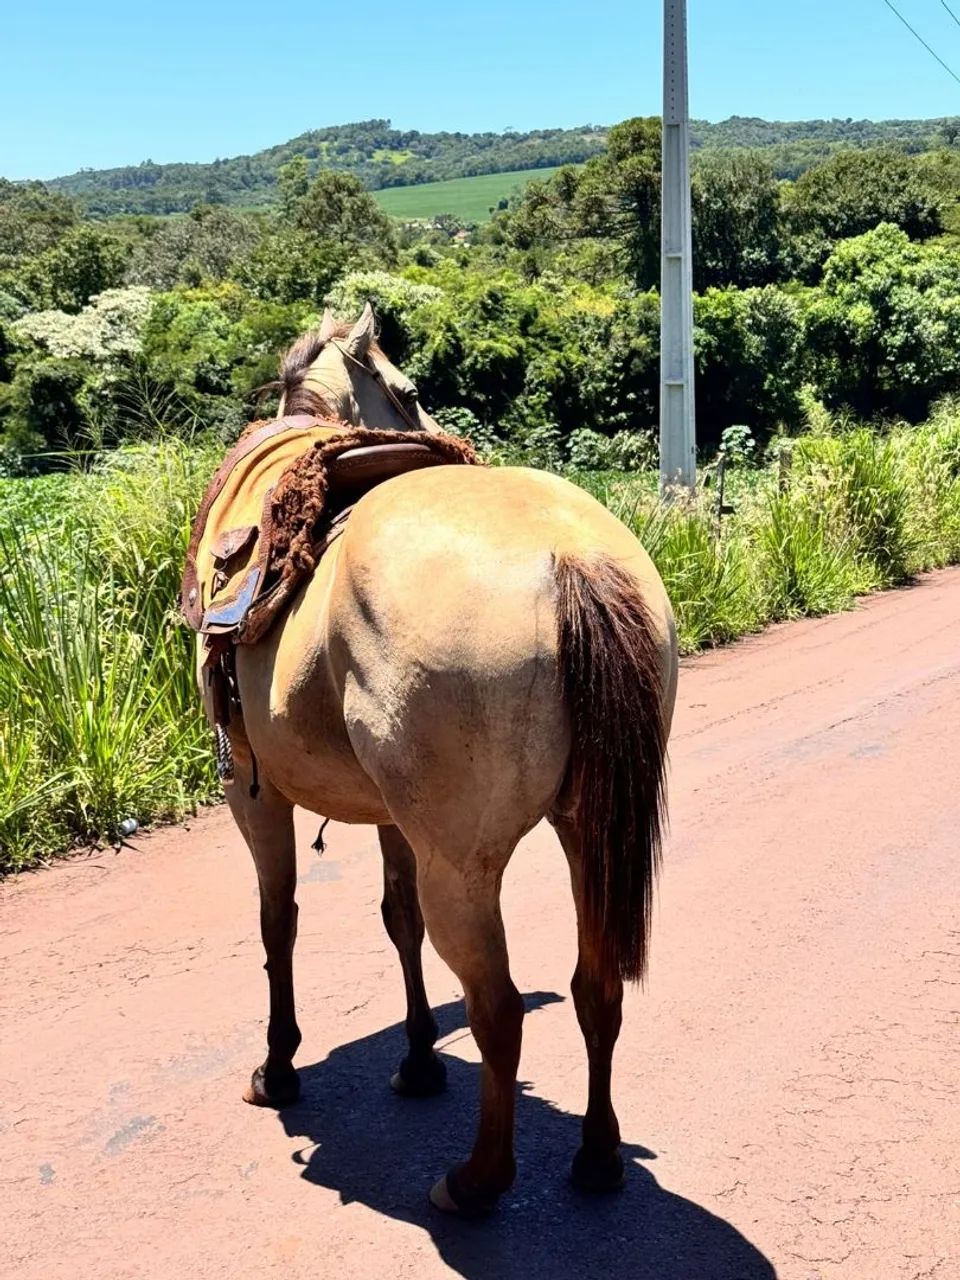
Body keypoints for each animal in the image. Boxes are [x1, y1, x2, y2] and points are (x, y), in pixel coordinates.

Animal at [196, 303, 678, 1217]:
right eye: (413, 389)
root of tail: (570, 559)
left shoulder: (254, 792)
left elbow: (279, 922)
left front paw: (278, 1067)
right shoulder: (394, 817)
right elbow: (397, 919)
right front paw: (418, 1059)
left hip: (461, 864)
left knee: (498, 1009)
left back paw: (478, 1180)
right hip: (586, 829)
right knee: (596, 986)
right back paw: (597, 1156)